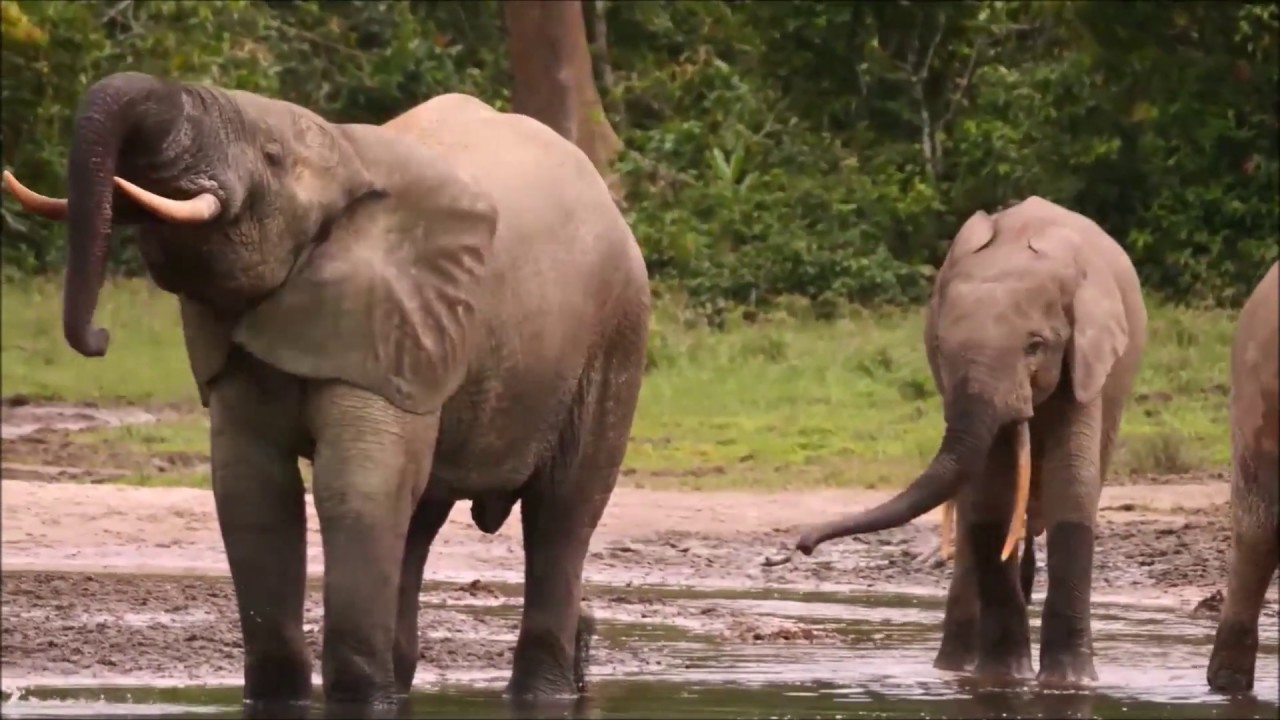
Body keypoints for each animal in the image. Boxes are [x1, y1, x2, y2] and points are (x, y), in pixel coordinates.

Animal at [3, 72, 651, 706]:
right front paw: (280, 700)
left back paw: (542, 692)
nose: (99, 338)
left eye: (270, 154)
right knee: (417, 516)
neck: (347, 152)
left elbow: (353, 487)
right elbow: (253, 493)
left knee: (561, 513)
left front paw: (358, 703)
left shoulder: (388, 316)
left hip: (614, 334)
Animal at [765, 196, 1148, 686]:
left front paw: (1069, 683)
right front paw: (1004, 679)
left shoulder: (1085, 364)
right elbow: (989, 497)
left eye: (1035, 346)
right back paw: (954, 668)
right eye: (941, 347)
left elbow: (1072, 487)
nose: (802, 544)